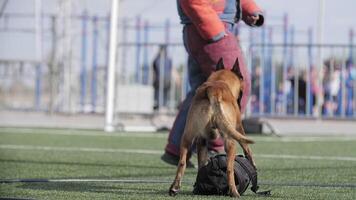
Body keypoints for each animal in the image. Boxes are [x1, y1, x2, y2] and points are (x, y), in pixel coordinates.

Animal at [170, 58, 256, 198]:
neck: (220, 80)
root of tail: (213, 90)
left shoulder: (201, 140)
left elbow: (201, 164)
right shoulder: (238, 128)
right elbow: (247, 148)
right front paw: (253, 164)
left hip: (187, 136)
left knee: (182, 162)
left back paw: (175, 188)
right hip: (230, 140)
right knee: (229, 169)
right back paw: (234, 192)